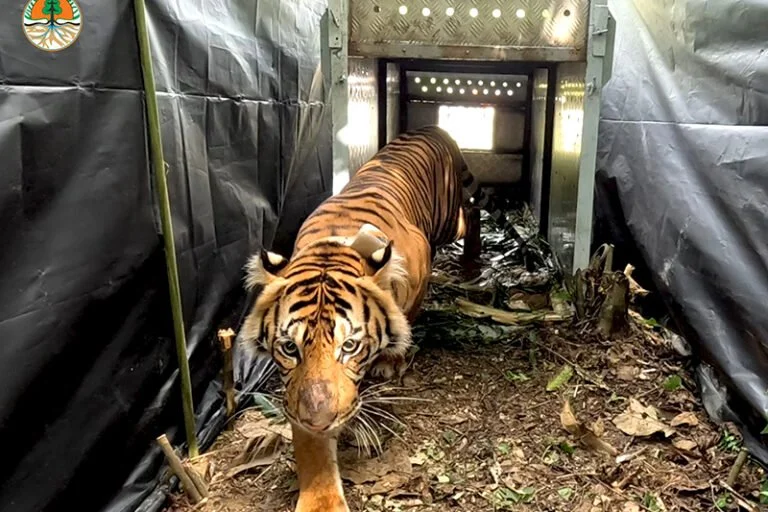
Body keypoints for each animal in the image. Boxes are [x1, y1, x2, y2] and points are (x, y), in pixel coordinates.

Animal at [237, 125, 527, 512]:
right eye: (288, 347)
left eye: (349, 346)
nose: (319, 421)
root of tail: (433, 128)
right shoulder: (296, 395)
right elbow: (311, 449)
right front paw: (320, 498)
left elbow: (404, 322)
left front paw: (391, 361)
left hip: (448, 221)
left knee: (470, 213)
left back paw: (470, 261)